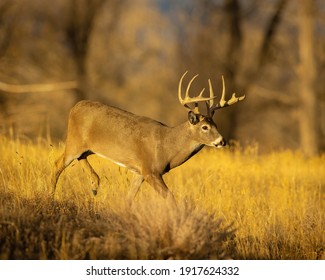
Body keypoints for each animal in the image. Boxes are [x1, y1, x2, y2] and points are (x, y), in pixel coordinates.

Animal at [51, 72, 243, 203]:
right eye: (204, 127)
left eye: (216, 125)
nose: (222, 141)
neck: (167, 146)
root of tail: (74, 107)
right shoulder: (151, 170)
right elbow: (171, 199)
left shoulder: (139, 171)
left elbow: (129, 198)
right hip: (74, 141)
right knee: (57, 164)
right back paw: (52, 198)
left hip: (85, 147)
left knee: (79, 158)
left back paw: (94, 185)